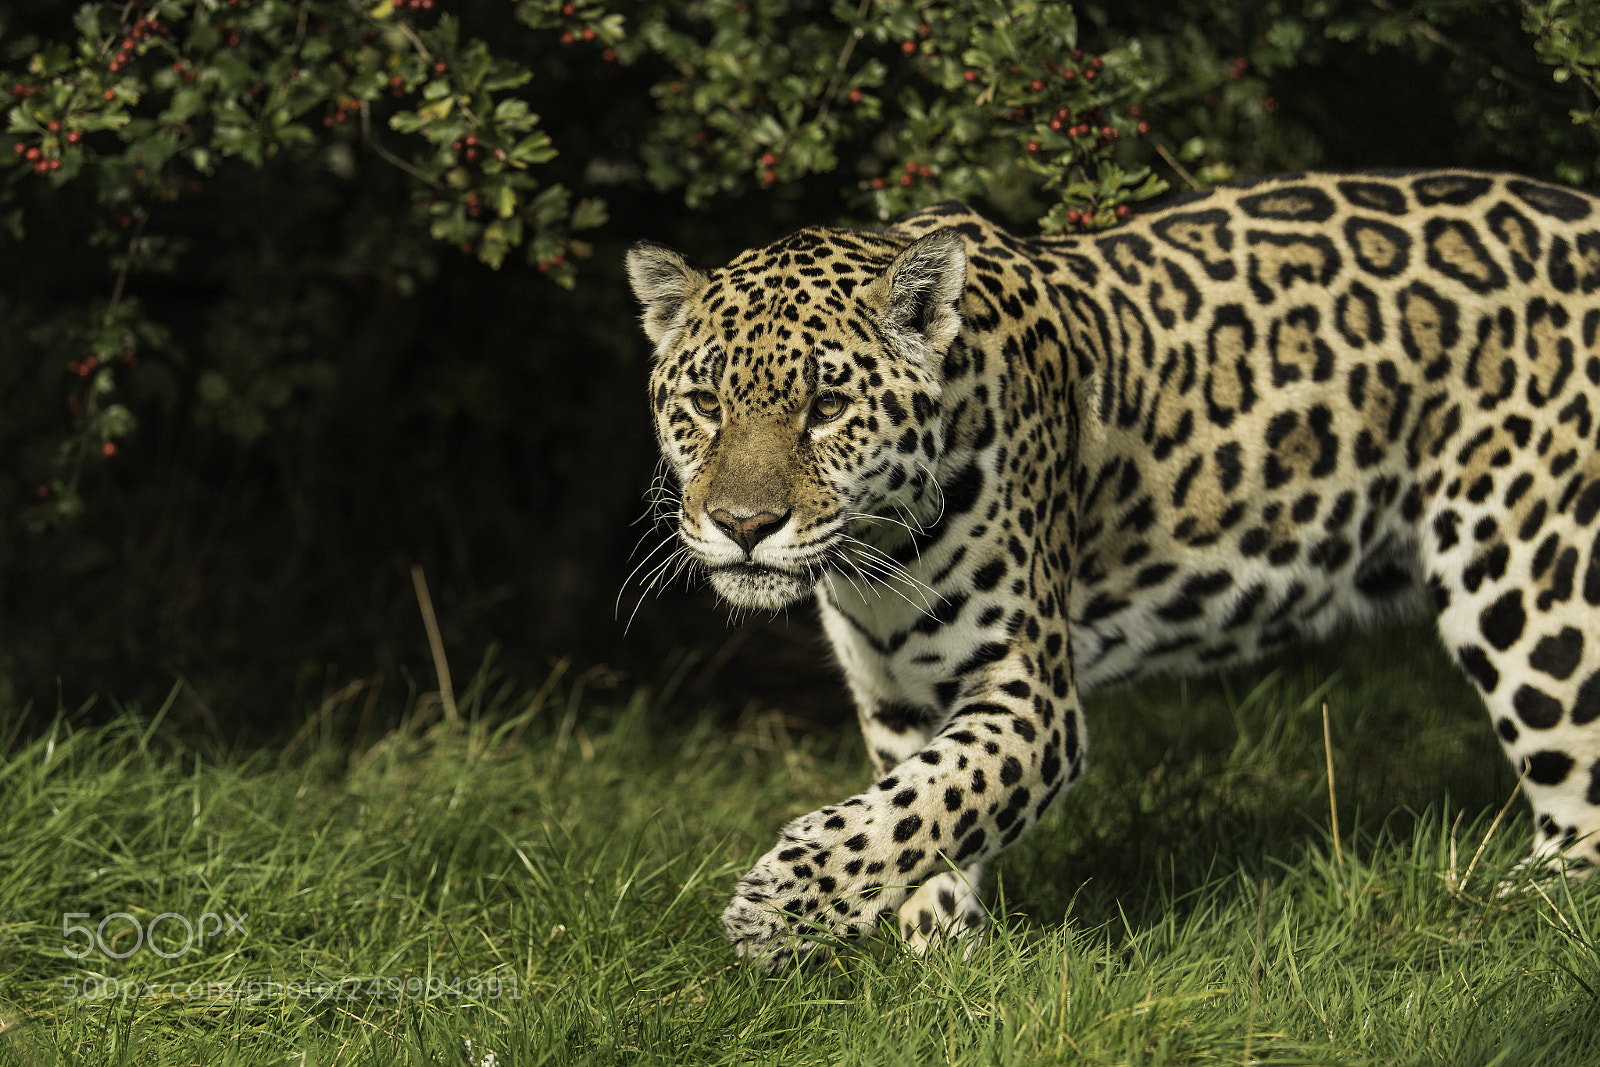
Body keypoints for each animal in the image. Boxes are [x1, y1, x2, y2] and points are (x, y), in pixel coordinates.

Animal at [625, 168, 1600, 971]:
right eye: (703, 402)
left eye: (828, 406)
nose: (743, 525)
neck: (880, 558)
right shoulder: (898, 695)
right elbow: (921, 814)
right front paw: (941, 959)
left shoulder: (1033, 700)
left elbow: (921, 806)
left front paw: (775, 909)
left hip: (1529, 582)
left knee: (1578, 799)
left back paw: (1504, 914)